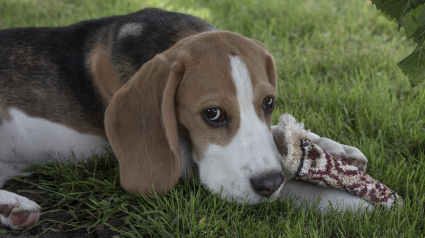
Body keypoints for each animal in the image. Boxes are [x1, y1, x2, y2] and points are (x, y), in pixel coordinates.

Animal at [0, 8, 370, 230]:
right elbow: (291, 187)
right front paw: (349, 202)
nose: (268, 183)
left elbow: (279, 134)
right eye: (212, 114)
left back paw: (12, 209)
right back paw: (14, 204)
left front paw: (331, 150)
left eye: (269, 102)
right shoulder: (186, 169)